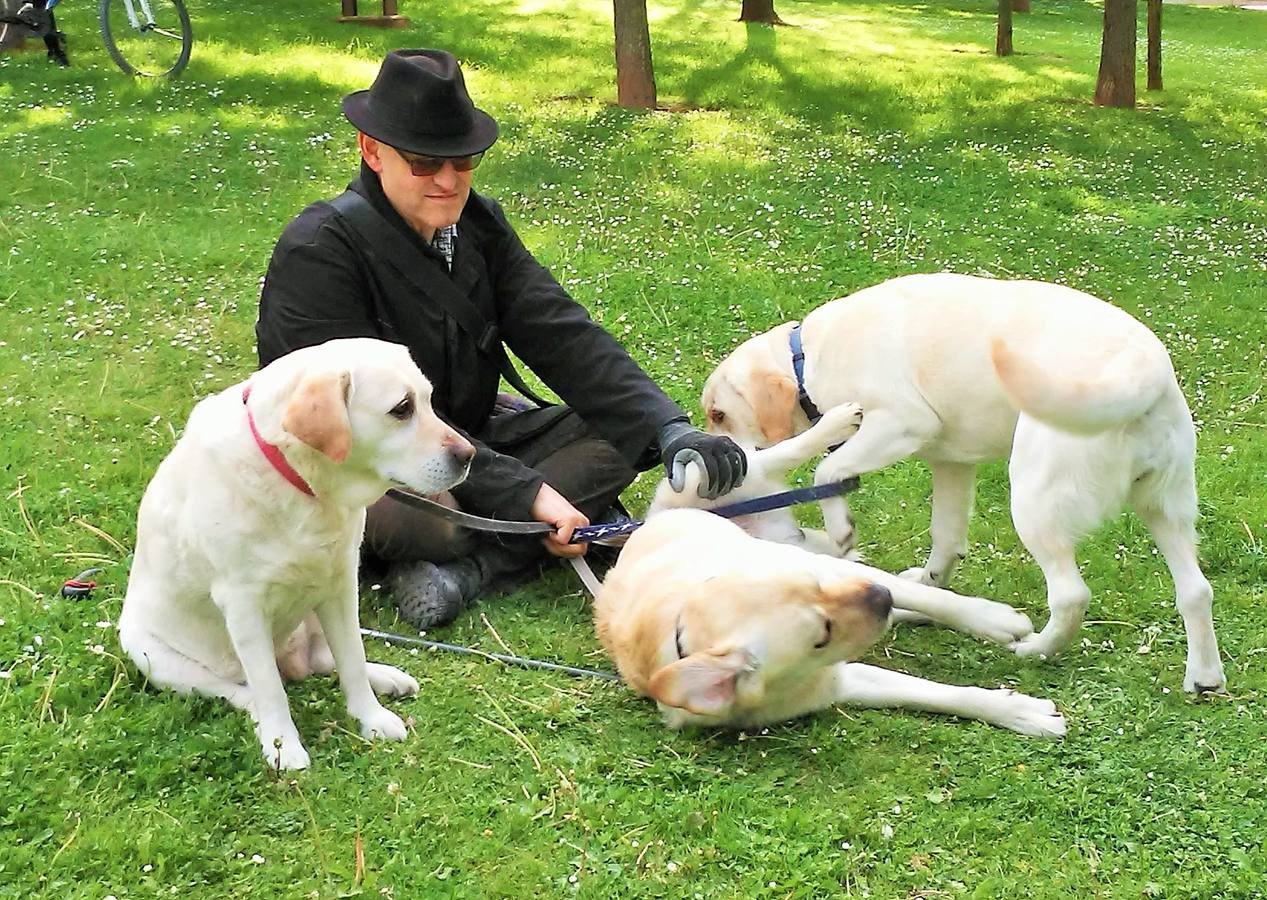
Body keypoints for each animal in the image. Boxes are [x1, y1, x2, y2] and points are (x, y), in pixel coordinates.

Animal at [119, 339, 476, 770]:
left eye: (428, 399)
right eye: (402, 408)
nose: (469, 454)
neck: (301, 480)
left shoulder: (341, 583)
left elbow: (352, 660)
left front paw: (370, 718)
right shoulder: (243, 605)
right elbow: (270, 689)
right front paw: (283, 745)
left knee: (327, 659)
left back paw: (387, 678)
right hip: (151, 655)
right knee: (240, 690)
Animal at [704, 271, 1226, 694]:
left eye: (719, 413)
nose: (721, 468)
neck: (806, 358)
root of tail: (1144, 370)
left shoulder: (902, 424)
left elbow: (828, 472)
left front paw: (841, 530)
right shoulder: (951, 464)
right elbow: (947, 538)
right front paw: (931, 582)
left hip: (1033, 500)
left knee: (1071, 595)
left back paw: (1036, 649)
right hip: (1166, 508)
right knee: (1196, 590)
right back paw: (1204, 678)